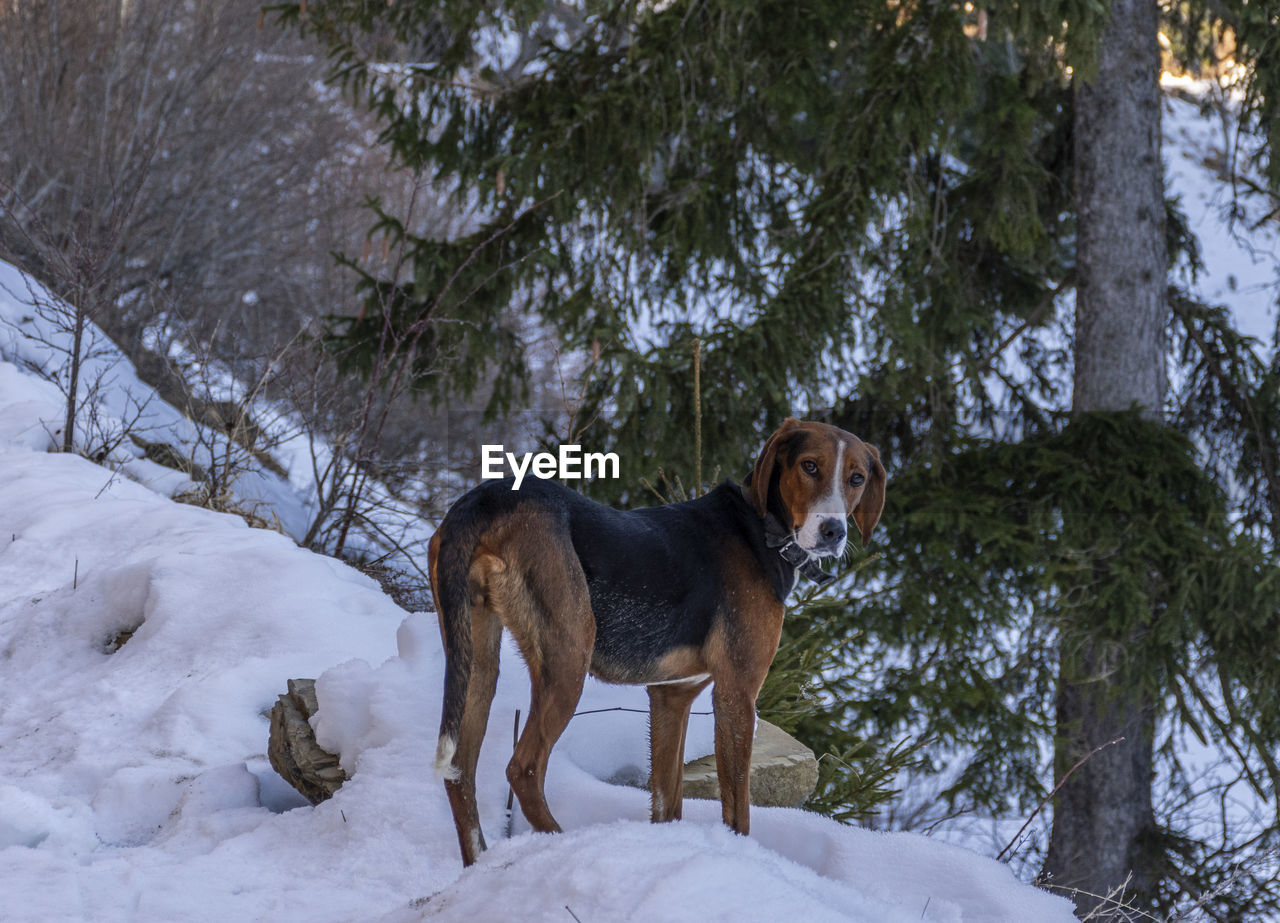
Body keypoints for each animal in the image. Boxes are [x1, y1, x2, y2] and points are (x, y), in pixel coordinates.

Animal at [424, 417, 885, 865]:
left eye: (857, 478)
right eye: (809, 466)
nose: (833, 531)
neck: (760, 530)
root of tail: (485, 498)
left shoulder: (671, 696)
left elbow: (667, 801)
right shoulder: (737, 693)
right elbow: (737, 807)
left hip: (475, 658)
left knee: (461, 772)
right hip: (569, 653)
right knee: (524, 770)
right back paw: (563, 843)